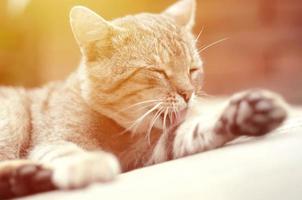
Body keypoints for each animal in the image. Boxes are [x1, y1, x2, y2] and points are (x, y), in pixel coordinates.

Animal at [0, 0, 288, 198]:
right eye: (158, 71)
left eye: (192, 70)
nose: (188, 93)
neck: (119, 131)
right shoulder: (55, 137)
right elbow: (67, 150)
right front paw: (87, 164)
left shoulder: (148, 151)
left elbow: (189, 132)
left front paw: (241, 113)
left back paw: (24, 177)